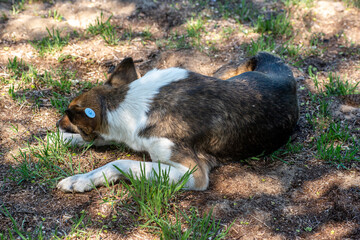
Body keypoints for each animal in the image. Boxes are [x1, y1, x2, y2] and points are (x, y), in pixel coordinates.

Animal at [56, 52, 298, 193]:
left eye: (67, 117)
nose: (57, 123)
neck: (128, 103)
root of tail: (271, 58)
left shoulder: (192, 174)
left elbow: (120, 162)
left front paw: (80, 179)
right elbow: (101, 141)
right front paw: (63, 140)